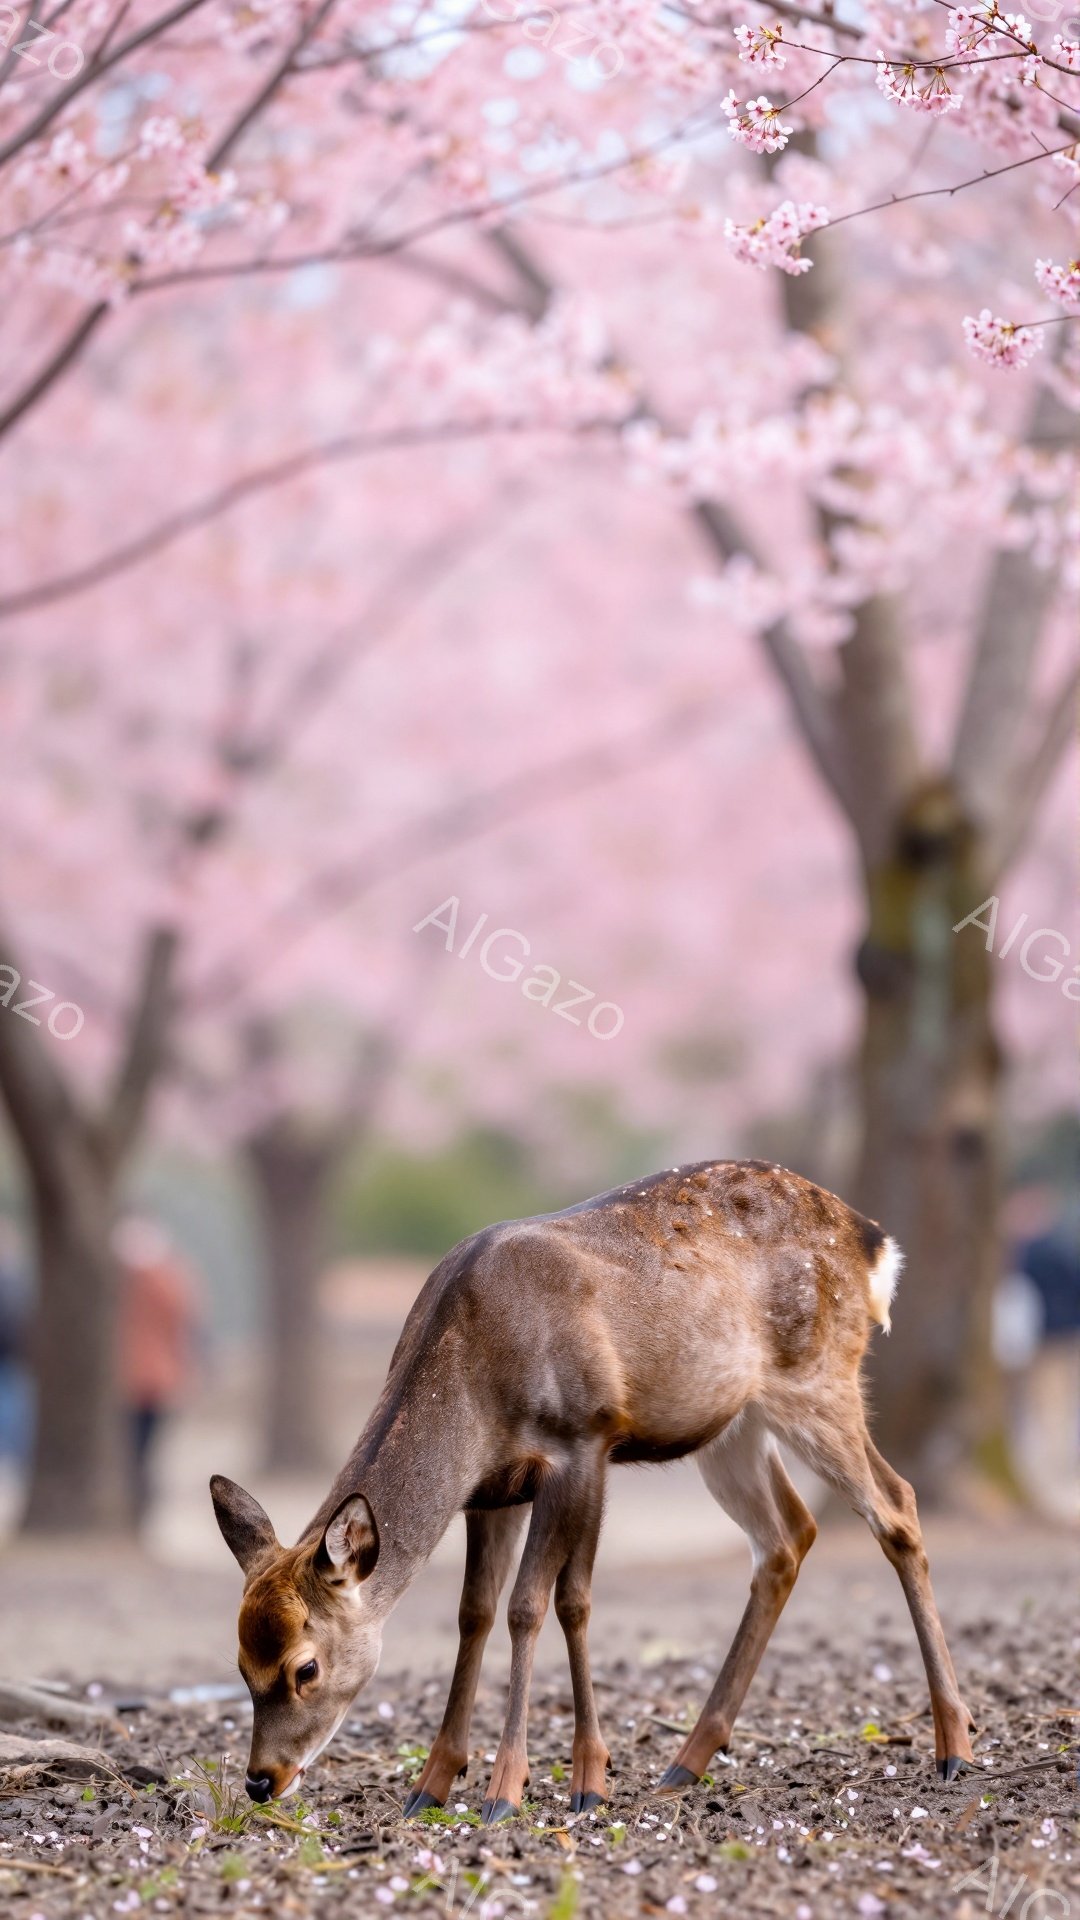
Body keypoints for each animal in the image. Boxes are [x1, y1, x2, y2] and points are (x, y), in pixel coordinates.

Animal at [210, 1158, 976, 1822]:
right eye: (241, 1662)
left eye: (305, 1667)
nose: (260, 1780)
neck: (472, 1385)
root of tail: (872, 1242)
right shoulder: (492, 1490)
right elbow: (478, 1611)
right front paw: (435, 1784)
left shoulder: (583, 1441)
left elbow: (540, 1605)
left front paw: (525, 1788)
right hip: (736, 1426)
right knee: (787, 1535)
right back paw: (687, 1760)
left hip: (818, 1379)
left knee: (896, 1505)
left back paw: (954, 1746)